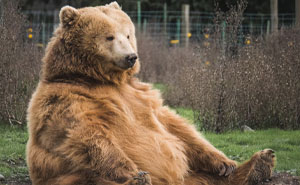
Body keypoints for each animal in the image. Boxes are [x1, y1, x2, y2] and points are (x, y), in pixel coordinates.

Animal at [27, 1, 276, 185]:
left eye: (127, 34)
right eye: (109, 36)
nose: (131, 57)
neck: (101, 78)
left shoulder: (141, 95)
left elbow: (175, 126)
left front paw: (225, 163)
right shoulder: (67, 98)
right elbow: (86, 135)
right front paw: (134, 173)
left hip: (194, 176)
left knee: (210, 177)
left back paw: (260, 162)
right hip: (68, 176)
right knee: (91, 177)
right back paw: (138, 180)